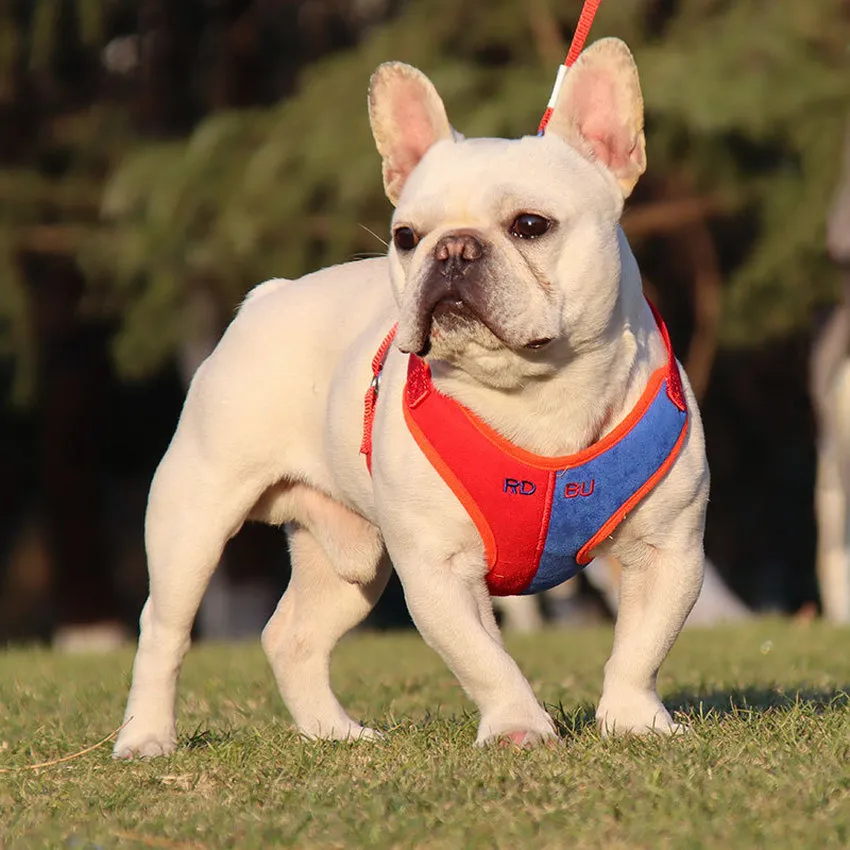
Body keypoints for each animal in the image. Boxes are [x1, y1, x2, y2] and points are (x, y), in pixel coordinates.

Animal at [112, 39, 708, 756]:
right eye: (406, 236)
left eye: (530, 225)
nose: (452, 249)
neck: (538, 391)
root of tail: (269, 295)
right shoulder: (438, 568)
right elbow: (485, 657)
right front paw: (517, 726)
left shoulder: (668, 549)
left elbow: (642, 647)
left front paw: (635, 721)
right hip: (193, 515)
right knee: (163, 628)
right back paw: (145, 738)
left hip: (351, 558)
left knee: (291, 636)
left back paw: (336, 734)